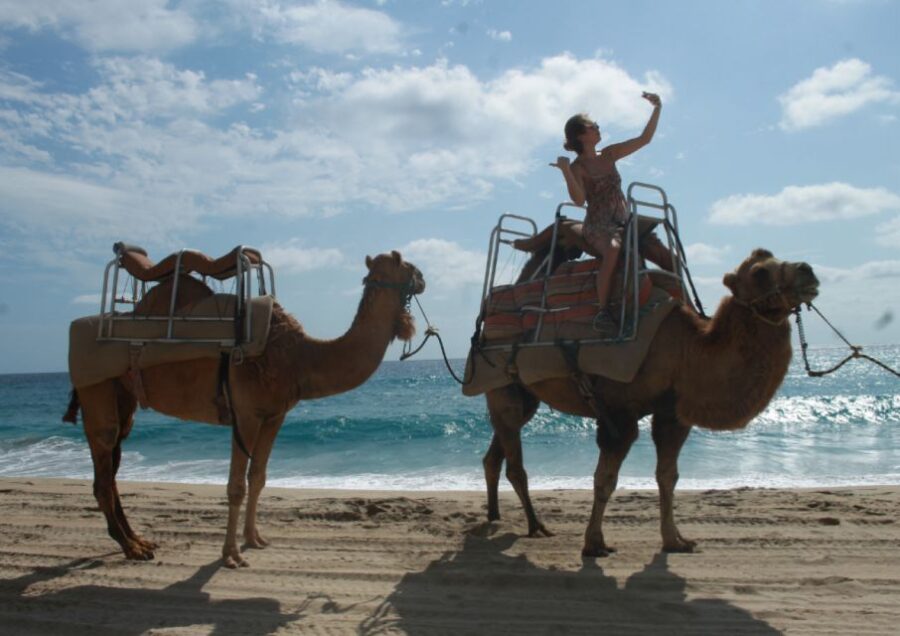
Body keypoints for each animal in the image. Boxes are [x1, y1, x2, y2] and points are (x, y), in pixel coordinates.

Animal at [65, 251, 425, 568]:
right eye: (402, 262)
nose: (422, 278)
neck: (300, 358)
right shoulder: (247, 414)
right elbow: (236, 486)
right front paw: (231, 555)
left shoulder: (274, 415)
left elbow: (258, 476)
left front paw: (255, 539)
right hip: (96, 387)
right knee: (104, 462)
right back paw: (132, 548)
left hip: (122, 393)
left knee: (112, 465)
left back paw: (139, 541)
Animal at [481, 248, 819, 556]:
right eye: (760, 272)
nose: (808, 270)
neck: (687, 352)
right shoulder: (619, 413)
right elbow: (605, 479)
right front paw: (594, 544)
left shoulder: (672, 414)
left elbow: (668, 477)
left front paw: (675, 541)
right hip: (502, 385)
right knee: (515, 462)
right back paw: (536, 526)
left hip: (524, 397)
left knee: (496, 452)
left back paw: (495, 516)